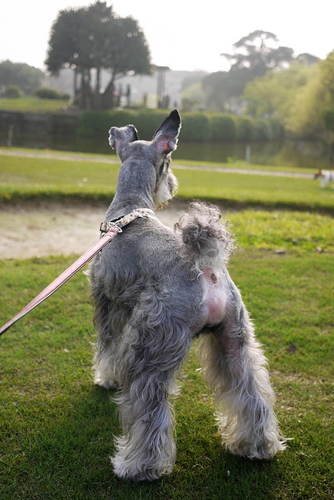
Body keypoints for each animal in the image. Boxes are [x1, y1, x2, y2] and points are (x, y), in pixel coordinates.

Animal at [90, 108, 286, 480]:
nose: (172, 184)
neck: (128, 211)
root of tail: (205, 266)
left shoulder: (109, 302)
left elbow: (107, 347)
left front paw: (105, 378)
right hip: (234, 339)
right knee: (251, 392)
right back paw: (254, 446)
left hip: (151, 347)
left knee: (149, 407)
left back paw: (138, 466)